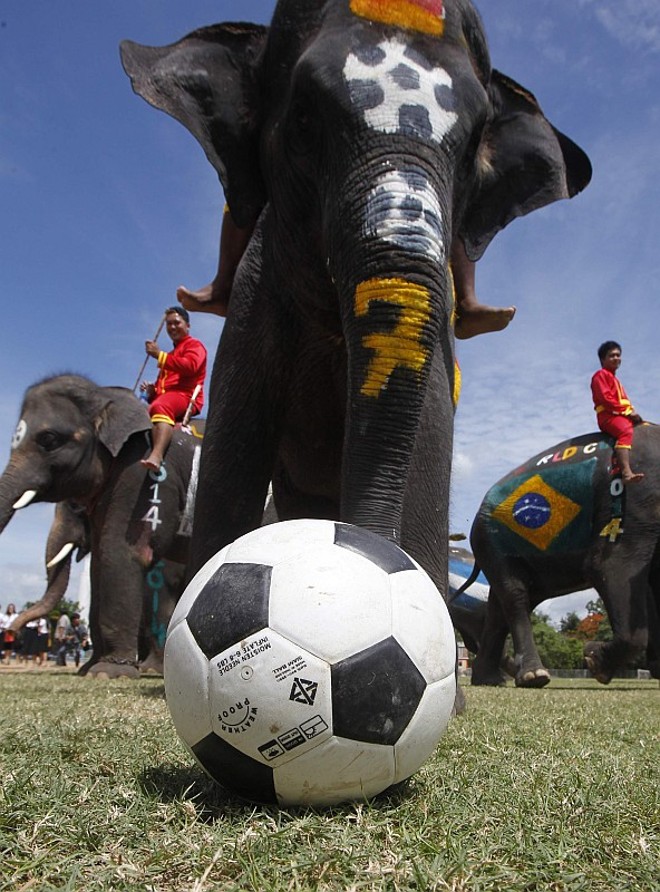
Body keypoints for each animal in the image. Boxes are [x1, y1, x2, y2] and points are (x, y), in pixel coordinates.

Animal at [0, 375, 203, 678]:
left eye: (49, 439)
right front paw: (90, 670)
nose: (11, 631)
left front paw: (111, 672)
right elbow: (98, 566)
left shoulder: (146, 478)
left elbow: (121, 554)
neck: (106, 396)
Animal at [120, 0, 591, 651]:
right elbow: (233, 452)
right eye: (302, 118)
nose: (364, 558)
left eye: (475, 144)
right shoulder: (254, 298)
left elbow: (429, 443)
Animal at [454, 425, 660, 687]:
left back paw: (490, 679)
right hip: (491, 541)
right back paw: (533, 676)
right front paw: (594, 661)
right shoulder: (631, 500)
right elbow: (608, 567)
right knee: (515, 596)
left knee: (500, 605)